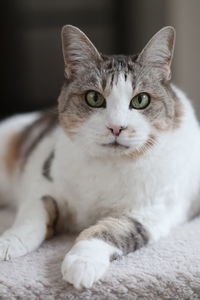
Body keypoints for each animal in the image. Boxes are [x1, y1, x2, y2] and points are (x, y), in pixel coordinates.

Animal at [0, 24, 200, 290]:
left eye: (141, 100)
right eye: (94, 98)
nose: (116, 127)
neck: (110, 164)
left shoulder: (153, 213)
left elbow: (108, 231)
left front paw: (82, 263)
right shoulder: (44, 179)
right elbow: (31, 216)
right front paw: (9, 242)